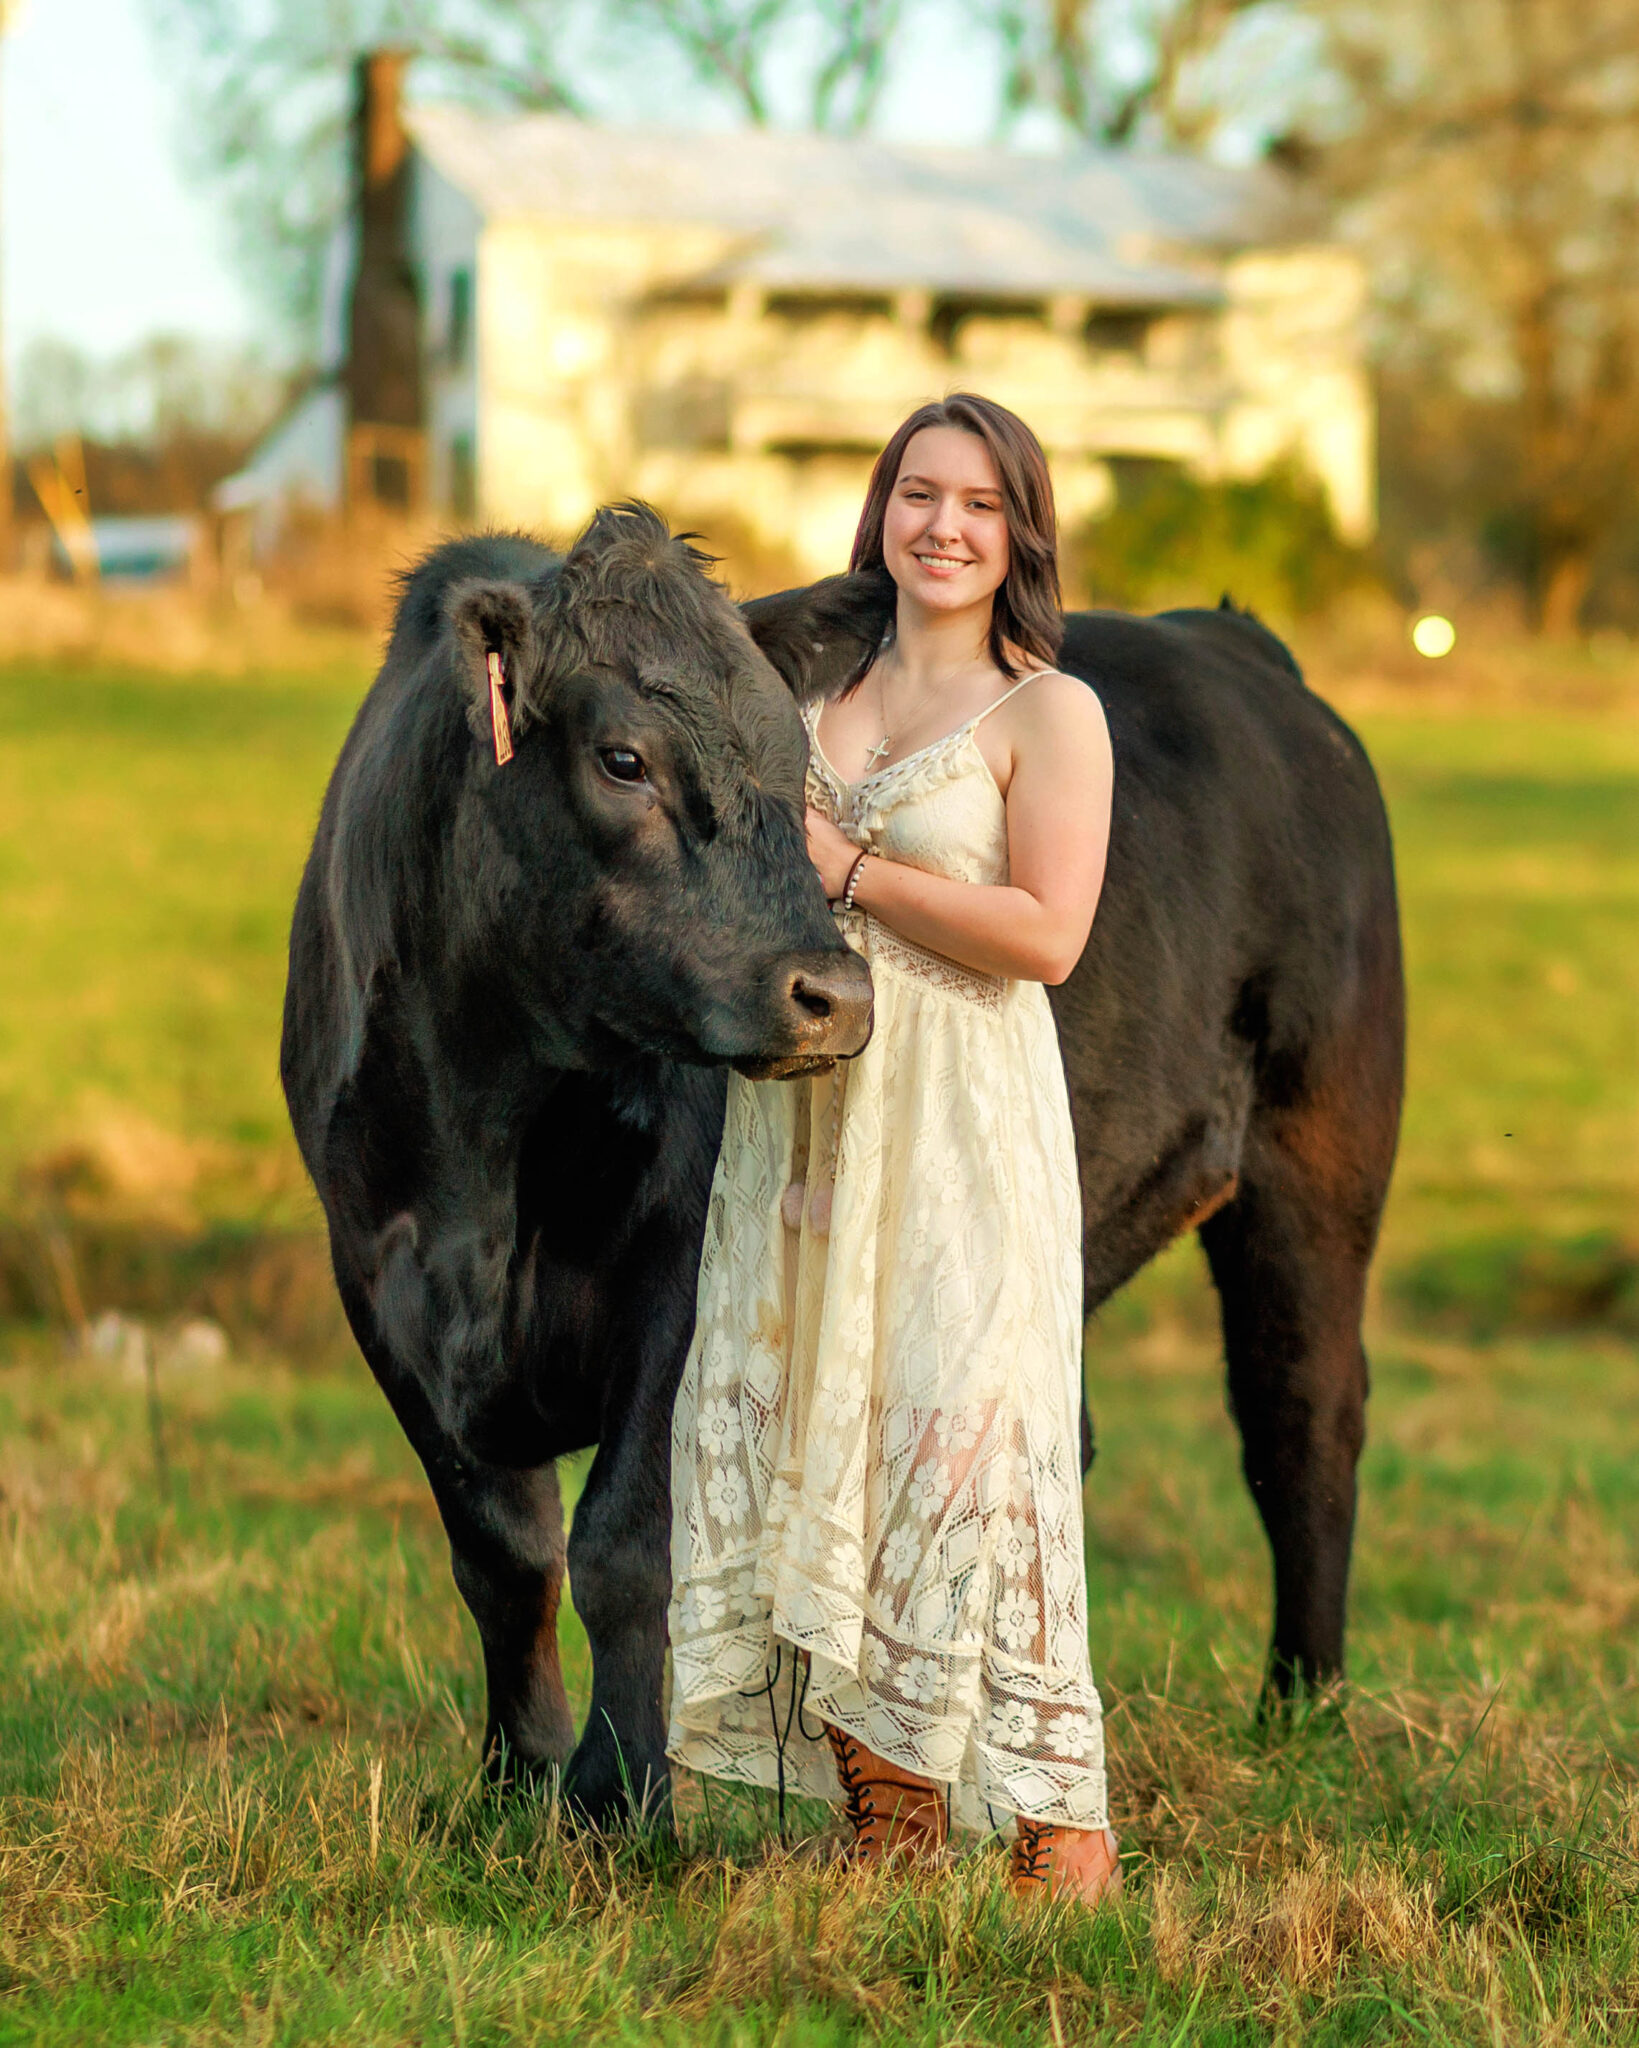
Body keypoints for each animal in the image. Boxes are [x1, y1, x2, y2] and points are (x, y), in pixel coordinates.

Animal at [282, 502, 1403, 1830]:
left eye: (794, 765)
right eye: (622, 759)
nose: (833, 993)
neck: (485, 1159)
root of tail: (1231, 640)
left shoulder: (683, 1275)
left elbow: (624, 1542)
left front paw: (618, 1798)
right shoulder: (376, 1281)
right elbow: (502, 1554)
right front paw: (518, 1776)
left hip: (1313, 1163)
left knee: (1301, 1412)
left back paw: (1302, 1704)